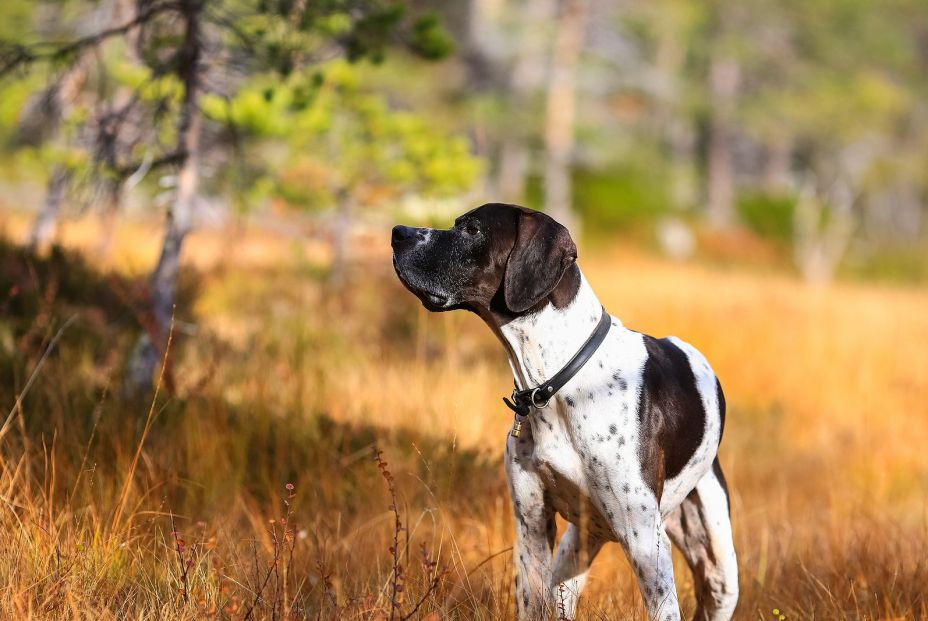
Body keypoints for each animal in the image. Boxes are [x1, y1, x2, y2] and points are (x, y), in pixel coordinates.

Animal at [392, 205, 740, 620]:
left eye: (472, 229)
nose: (397, 232)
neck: (556, 382)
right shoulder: (532, 526)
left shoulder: (646, 542)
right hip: (575, 553)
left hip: (717, 571)